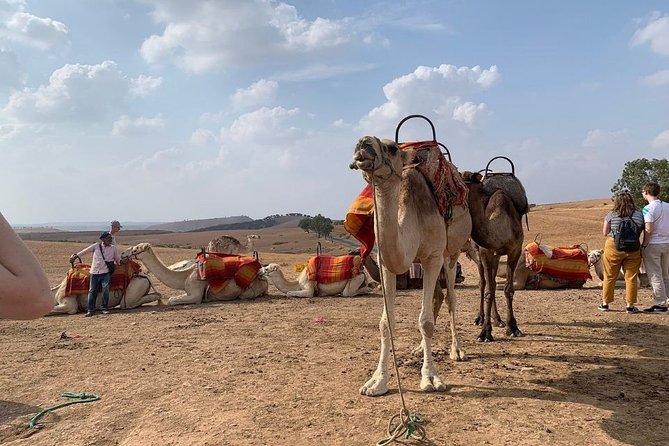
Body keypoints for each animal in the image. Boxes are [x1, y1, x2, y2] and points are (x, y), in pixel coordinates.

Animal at [121, 242, 268, 304]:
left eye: (135, 249)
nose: (122, 254)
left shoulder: (196, 293)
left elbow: (171, 300)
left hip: (249, 291)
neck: (184, 276)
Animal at [350, 134, 470, 396]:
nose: (363, 143)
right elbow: (386, 323)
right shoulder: (386, 264)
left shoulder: (433, 256)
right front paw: (377, 382)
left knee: (450, 298)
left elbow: (426, 322)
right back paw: (420, 348)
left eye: (392, 148)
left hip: (451, 254)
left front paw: (431, 378)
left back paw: (457, 350)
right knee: (437, 297)